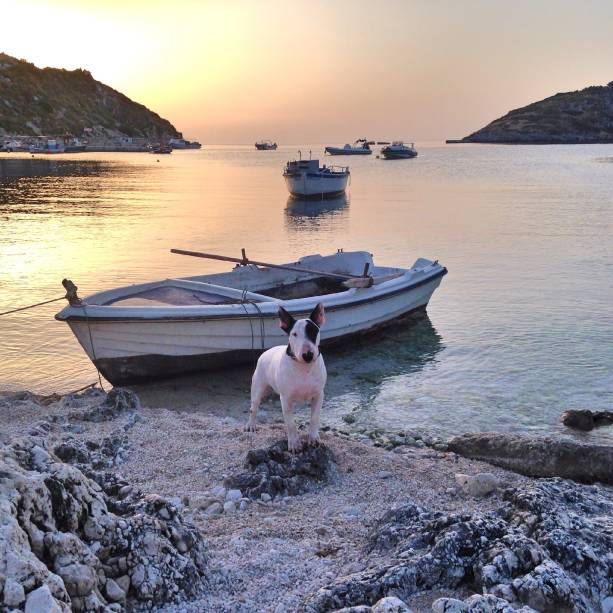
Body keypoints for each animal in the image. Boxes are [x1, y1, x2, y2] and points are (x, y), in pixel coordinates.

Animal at [246, 302, 328, 450]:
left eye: (313, 331)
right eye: (294, 334)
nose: (308, 355)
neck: (304, 368)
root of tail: (266, 352)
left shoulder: (319, 395)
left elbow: (314, 418)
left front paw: (313, 438)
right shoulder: (286, 398)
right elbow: (290, 423)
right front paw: (294, 443)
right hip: (258, 387)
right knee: (253, 407)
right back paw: (251, 425)